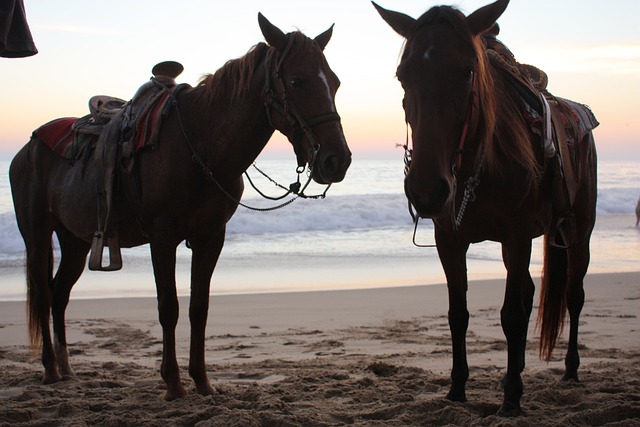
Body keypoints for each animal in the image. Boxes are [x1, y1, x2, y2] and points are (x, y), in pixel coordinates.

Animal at [8, 14, 350, 402]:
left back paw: (66, 368)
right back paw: (51, 367)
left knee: (59, 294)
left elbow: (198, 307)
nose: (337, 161)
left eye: (334, 82)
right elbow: (168, 308)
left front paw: (202, 380)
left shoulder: (210, 238)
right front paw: (172, 382)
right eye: (296, 81)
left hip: (76, 241)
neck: (200, 145)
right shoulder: (162, 238)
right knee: (43, 291)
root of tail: (28, 147)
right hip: (37, 234)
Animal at [372, 0, 596, 416]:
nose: (426, 190)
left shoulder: (517, 236)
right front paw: (457, 388)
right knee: (529, 292)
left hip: (578, 231)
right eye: (402, 75)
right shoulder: (449, 241)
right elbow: (458, 314)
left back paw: (569, 369)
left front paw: (511, 399)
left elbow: (512, 315)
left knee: (573, 296)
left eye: (466, 71)